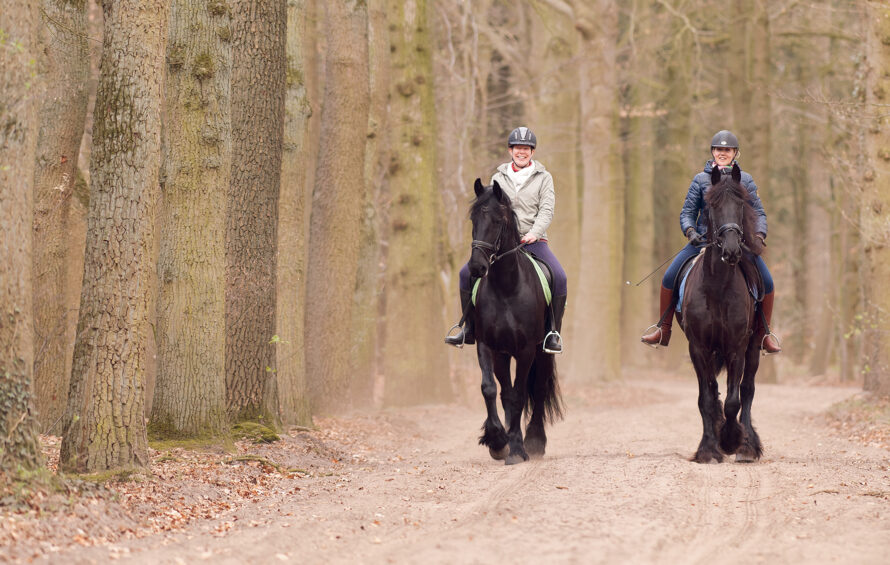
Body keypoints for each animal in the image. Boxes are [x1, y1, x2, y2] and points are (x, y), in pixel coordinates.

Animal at [464, 178, 560, 464]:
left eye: (497, 220)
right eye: (473, 219)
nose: (476, 267)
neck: (506, 287)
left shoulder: (527, 349)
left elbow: (520, 395)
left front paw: (517, 448)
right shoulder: (487, 345)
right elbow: (490, 389)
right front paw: (497, 440)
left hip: (542, 352)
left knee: (537, 389)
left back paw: (535, 441)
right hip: (503, 354)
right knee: (505, 391)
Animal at [676, 162, 768, 462]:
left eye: (741, 204)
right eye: (712, 205)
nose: (731, 250)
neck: (717, 286)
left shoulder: (737, 347)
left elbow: (733, 401)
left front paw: (730, 441)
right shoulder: (698, 347)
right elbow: (706, 399)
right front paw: (708, 449)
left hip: (754, 345)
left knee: (747, 390)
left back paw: (748, 446)